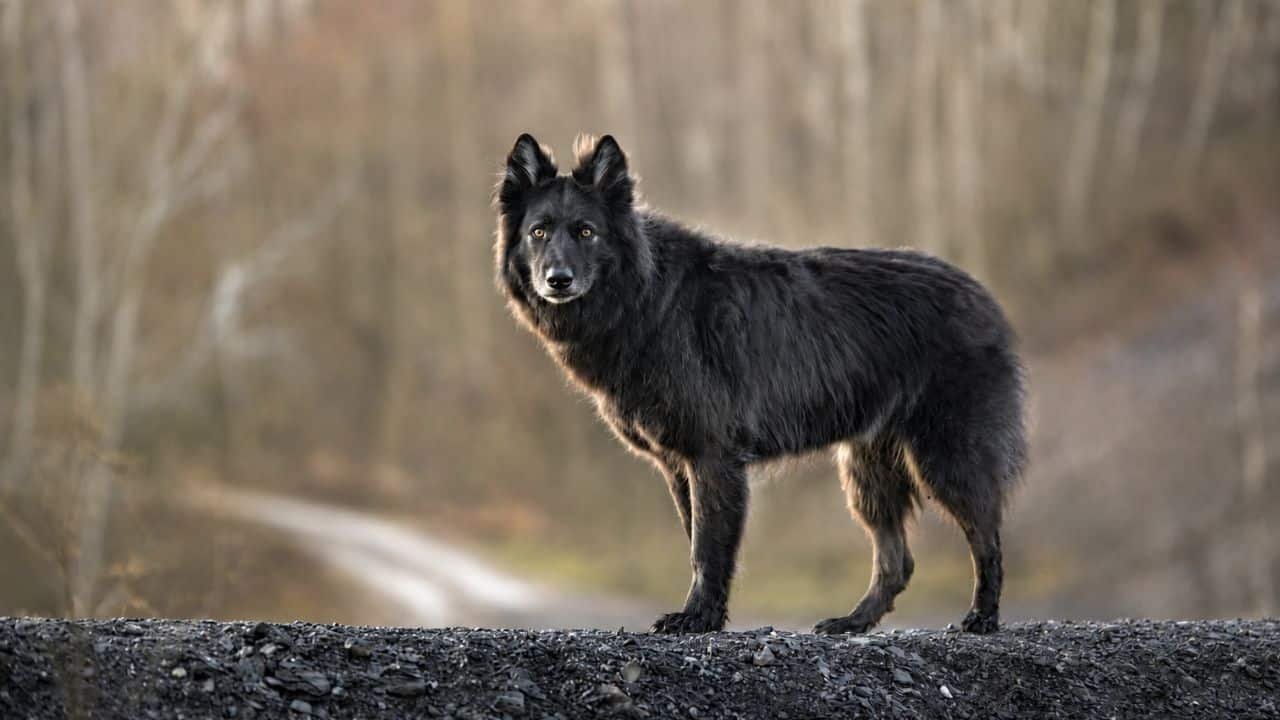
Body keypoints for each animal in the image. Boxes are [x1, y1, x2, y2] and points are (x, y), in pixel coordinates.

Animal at [494, 133, 1027, 634]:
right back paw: (852, 622)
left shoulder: (712, 459)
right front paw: (707, 615)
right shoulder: (679, 466)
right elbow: (696, 541)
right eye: (539, 232)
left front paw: (698, 618)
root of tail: (981, 295)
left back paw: (982, 618)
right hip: (866, 472)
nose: (557, 280)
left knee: (988, 539)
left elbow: (708, 548)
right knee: (898, 561)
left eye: (586, 232)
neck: (646, 297)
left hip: (946, 459)